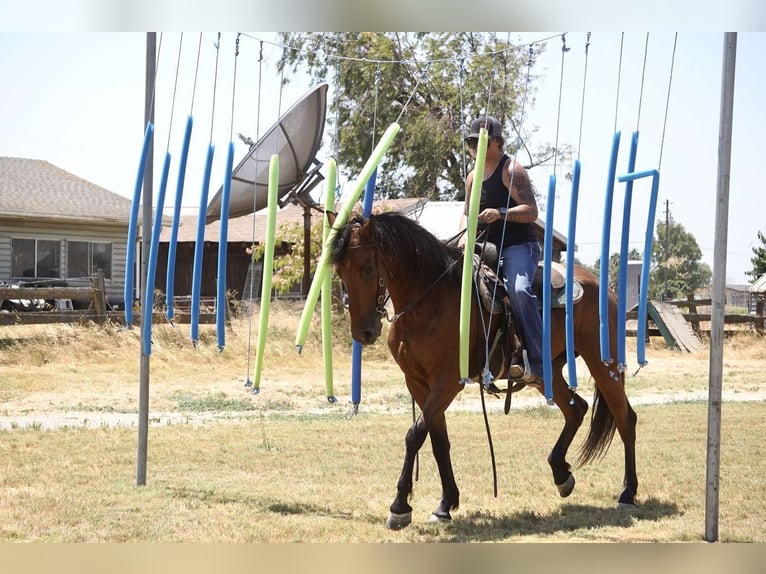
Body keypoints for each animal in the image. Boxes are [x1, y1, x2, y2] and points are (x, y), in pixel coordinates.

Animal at [330, 212, 636, 532]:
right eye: (339, 271)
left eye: (367, 269)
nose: (363, 332)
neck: (428, 301)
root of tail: (602, 286)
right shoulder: (417, 383)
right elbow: (438, 440)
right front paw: (444, 505)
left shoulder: (448, 382)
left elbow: (415, 435)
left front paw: (400, 507)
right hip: (550, 372)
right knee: (577, 409)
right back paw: (561, 474)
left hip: (603, 362)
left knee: (625, 418)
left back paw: (627, 493)